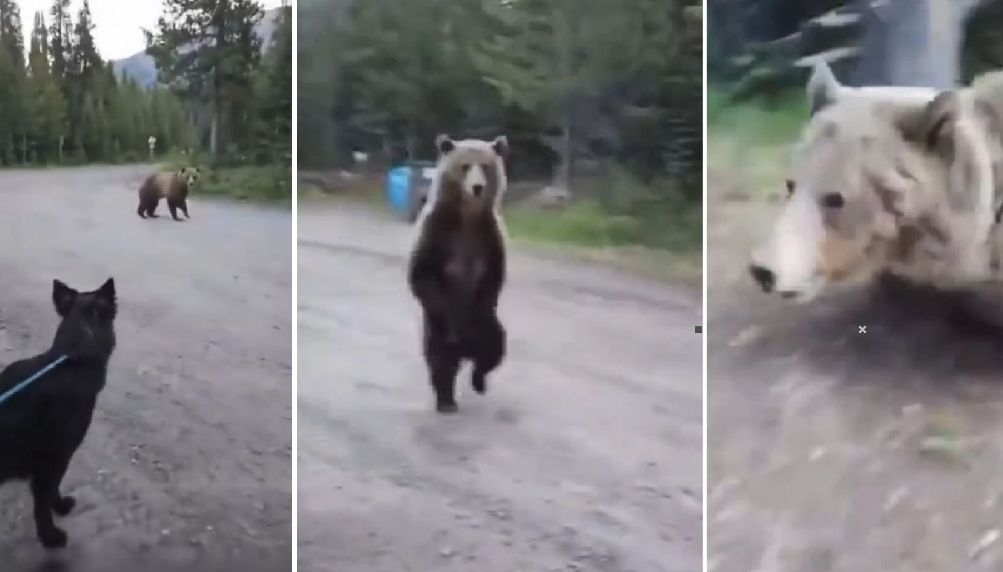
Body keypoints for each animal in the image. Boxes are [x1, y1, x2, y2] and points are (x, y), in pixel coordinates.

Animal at [407, 134, 509, 413]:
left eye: (485, 166)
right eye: (465, 166)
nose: (477, 187)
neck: (467, 217)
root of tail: (466, 351)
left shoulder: (489, 236)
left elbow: (492, 279)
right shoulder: (437, 231)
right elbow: (422, 273)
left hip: (489, 329)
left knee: (494, 347)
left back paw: (479, 380)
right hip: (434, 330)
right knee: (440, 360)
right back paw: (446, 400)